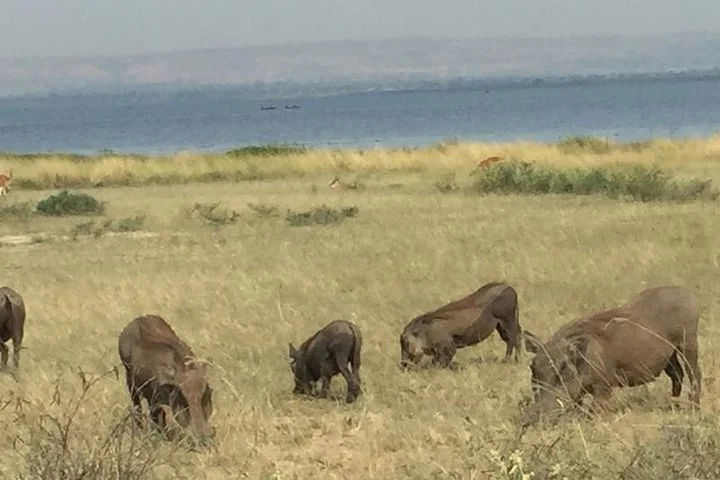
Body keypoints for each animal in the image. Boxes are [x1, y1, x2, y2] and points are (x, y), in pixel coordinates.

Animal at [118, 314, 215, 442]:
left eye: (206, 393)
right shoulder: (154, 401)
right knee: (137, 407)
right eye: (181, 395)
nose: (203, 436)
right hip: (131, 384)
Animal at [521, 285, 702, 427]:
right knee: (677, 375)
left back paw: (694, 408)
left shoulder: (604, 387)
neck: (586, 358)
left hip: (688, 344)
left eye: (562, 369)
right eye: (533, 367)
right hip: (669, 357)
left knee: (695, 374)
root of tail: (687, 293)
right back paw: (674, 406)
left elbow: (593, 412)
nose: (531, 418)